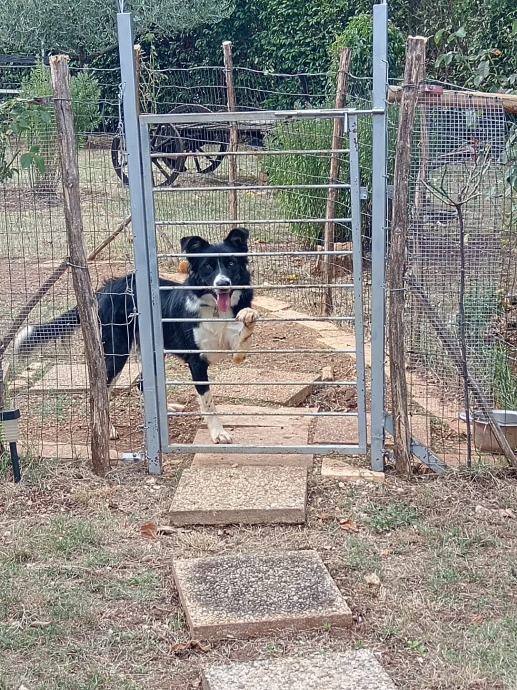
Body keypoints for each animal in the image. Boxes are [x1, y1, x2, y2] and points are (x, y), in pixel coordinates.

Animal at [14, 227, 258, 444]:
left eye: (231, 264)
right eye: (208, 266)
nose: (223, 284)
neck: (217, 309)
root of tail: (104, 290)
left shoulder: (229, 348)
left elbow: (242, 342)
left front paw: (248, 316)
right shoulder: (197, 360)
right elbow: (208, 402)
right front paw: (218, 433)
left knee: (141, 382)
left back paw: (165, 407)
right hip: (117, 351)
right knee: (100, 391)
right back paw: (107, 428)